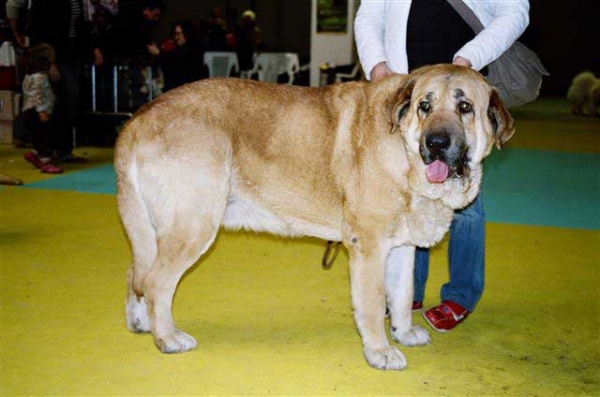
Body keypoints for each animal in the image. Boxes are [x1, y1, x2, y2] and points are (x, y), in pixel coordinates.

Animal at [117, 63, 516, 370]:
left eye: (465, 106)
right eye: (424, 106)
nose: (435, 143)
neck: (404, 151)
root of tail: (137, 120)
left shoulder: (401, 248)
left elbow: (401, 296)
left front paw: (403, 334)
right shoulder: (369, 248)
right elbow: (374, 304)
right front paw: (380, 351)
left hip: (152, 231)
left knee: (137, 275)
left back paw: (140, 324)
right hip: (193, 225)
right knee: (156, 283)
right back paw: (168, 338)